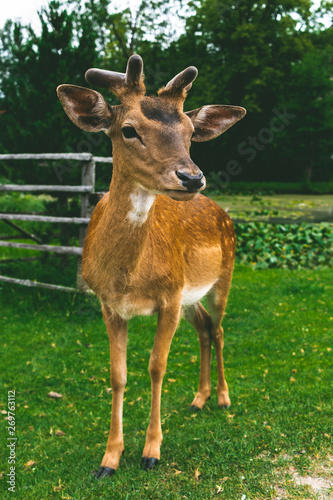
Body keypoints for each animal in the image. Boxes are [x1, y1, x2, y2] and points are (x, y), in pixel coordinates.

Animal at [56, 53, 244, 476]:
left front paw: (151, 452)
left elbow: (157, 366)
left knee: (220, 328)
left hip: (222, 280)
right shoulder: (109, 304)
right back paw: (199, 398)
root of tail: (222, 212)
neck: (127, 278)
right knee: (204, 329)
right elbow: (117, 374)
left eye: (190, 132)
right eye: (128, 130)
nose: (191, 177)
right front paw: (109, 458)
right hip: (192, 297)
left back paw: (223, 397)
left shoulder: (169, 297)